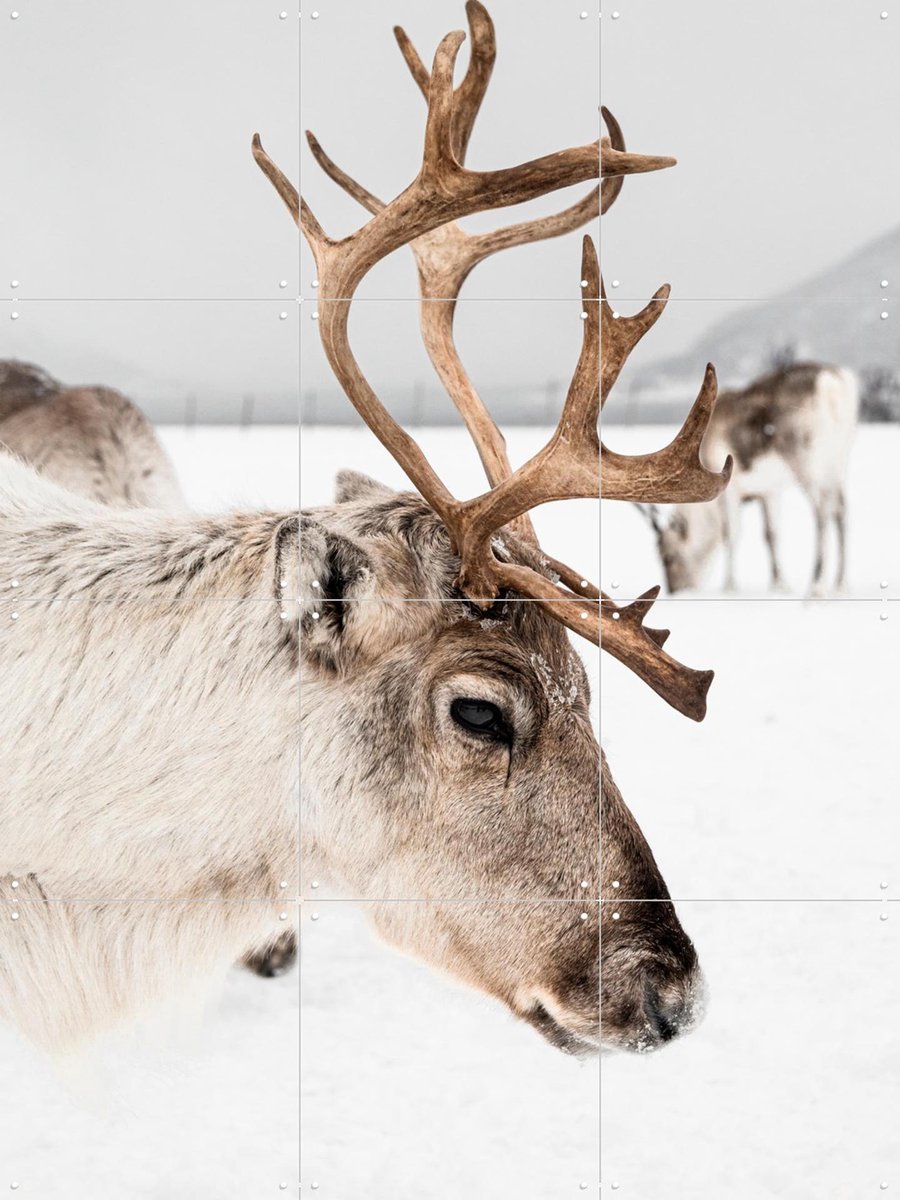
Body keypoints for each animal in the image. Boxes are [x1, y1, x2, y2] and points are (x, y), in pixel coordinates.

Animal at [642, 362, 859, 595]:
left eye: (668, 556)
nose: (676, 590)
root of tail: (832, 382)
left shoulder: (730, 490)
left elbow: (731, 533)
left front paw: (729, 586)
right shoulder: (768, 492)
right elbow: (771, 534)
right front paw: (779, 584)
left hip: (807, 462)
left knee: (822, 511)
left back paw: (816, 585)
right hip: (840, 460)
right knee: (841, 508)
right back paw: (841, 583)